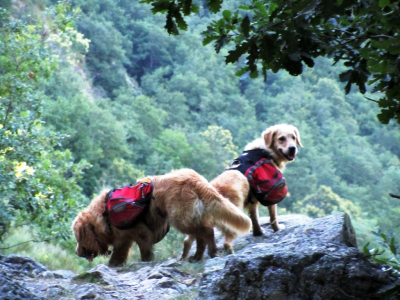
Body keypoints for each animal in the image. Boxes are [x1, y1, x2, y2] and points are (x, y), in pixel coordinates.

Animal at [72, 169, 250, 264]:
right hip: (193, 216)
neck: (105, 214)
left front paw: (145, 261)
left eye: (78, 238)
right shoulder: (124, 239)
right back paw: (198, 256)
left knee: (206, 232)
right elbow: (118, 256)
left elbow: (144, 251)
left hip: (180, 218)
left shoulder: (139, 233)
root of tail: (196, 179)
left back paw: (210, 253)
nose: (77, 252)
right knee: (203, 235)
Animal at [181, 123, 304, 258]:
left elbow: (255, 219)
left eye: (293, 137)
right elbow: (273, 217)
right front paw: (277, 229)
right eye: (281, 138)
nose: (292, 148)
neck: (264, 151)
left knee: (187, 241)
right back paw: (230, 253)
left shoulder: (252, 200)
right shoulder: (270, 194)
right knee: (226, 242)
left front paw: (258, 232)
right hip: (234, 219)